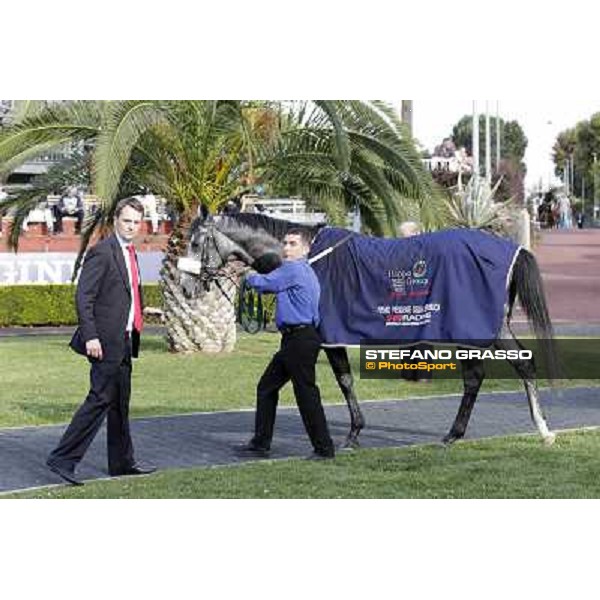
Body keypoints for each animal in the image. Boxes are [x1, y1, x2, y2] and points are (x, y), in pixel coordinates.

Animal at [179, 213, 556, 448]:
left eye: (195, 244)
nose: (184, 287)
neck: (308, 259)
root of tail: (512, 249)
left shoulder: (330, 339)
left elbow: (345, 381)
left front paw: (352, 434)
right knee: (494, 373)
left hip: (477, 329)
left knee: (502, 371)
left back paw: (525, 430)